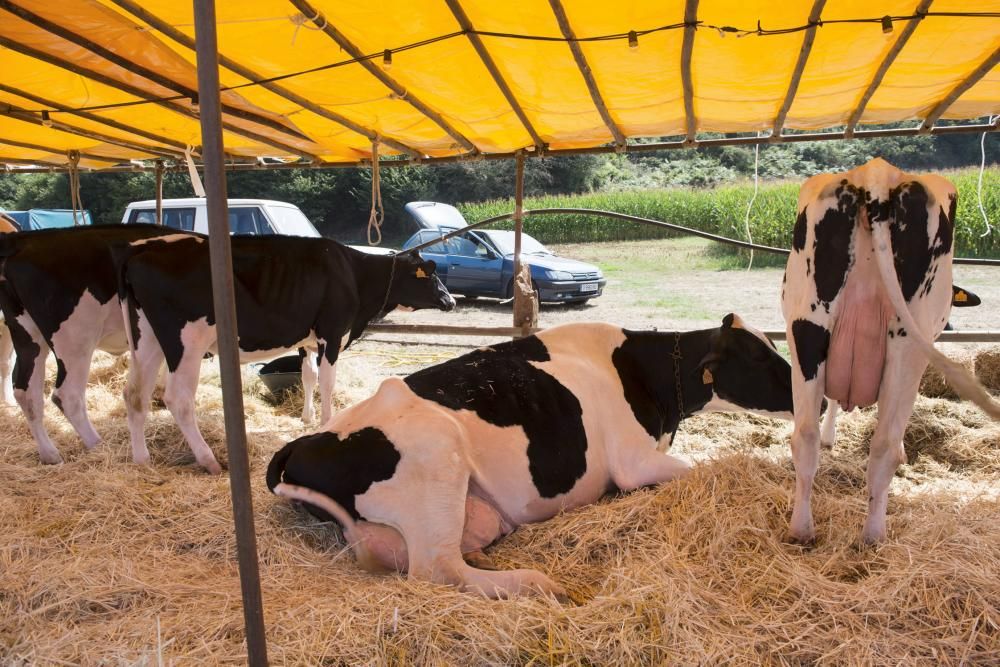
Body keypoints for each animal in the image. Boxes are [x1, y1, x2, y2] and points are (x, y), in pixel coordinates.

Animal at [0, 224, 191, 464]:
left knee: (27, 392)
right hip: (76, 339)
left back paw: (50, 454)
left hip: (27, 335)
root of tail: (23, 240)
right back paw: (98, 444)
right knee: (67, 395)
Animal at [117, 236, 458, 474]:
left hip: (146, 339)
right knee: (178, 398)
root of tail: (138, 252)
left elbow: (308, 377)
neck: (354, 276)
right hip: (187, 341)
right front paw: (326, 422)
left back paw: (142, 460)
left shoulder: (307, 339)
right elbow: (327, 382)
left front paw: (307, 418)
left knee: (134, 394)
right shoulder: (332, 331)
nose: (451, 301)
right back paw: (209, 460)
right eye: (430, 276)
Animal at [268, 318, 796, 600]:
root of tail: (301, 443)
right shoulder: (634, 462)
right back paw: (537, 583)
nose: (807, 393)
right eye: (761, 358)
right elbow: (706, 465)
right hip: (437, 455)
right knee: (438, 569)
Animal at [780, 159, 1000, 544]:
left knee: (809, 436)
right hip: (905, 341)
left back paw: (804, 531)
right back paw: (873, 536)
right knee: (885, 446)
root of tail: (877, 174)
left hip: (809, 327)